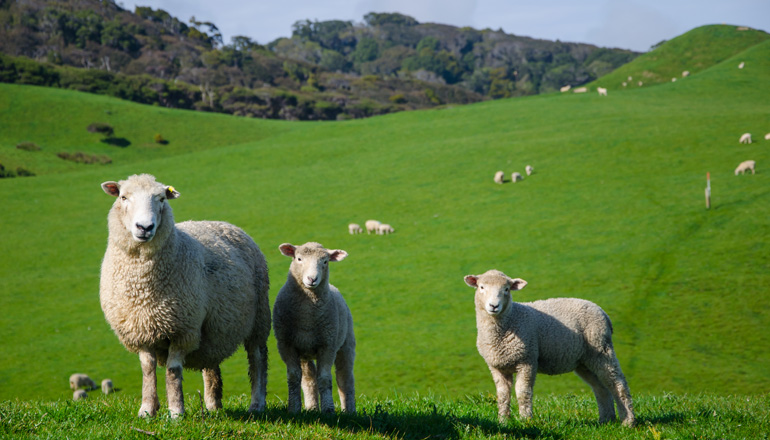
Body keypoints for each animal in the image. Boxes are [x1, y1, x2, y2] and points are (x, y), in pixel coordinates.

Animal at [99, 174, 271, 418]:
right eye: (123, 197)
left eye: (161, 198)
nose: (145, 227)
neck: (142, 287)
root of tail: (224, 224)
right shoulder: (140, 330)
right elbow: (148, 370)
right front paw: (147, 410)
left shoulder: (182, 329)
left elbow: (173, 371)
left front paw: (176, 412)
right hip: (213, 330)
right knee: (212, 365)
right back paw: (213, 405)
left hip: (259, 319)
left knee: (257, 359)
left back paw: (257, 404)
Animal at [273, 242, 356, 414]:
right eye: (298, 258)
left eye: (325, 261)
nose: (312, 279)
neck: (307, 317)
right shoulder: (286, 344)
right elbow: (294, 377)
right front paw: (293, 409)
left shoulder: (328, 345)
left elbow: (324, 378)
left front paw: (328, 410)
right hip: (305, 352)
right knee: (309, 379)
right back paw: (311, 407)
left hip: (346, 344)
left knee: (345, 378)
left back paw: (349, 410)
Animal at [464, 270, 635, 427]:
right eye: (481, 287)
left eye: (506, 289)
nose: (494, 306)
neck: (510, 319)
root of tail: (603, 313)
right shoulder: (497, 366)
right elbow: (502, 395)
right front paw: (503, 422)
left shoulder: (527, 360)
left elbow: (523, 392)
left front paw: (526, 420)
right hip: (584, 361)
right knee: (601, 388)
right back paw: (605, 420)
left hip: (601, 349)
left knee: (617, 383)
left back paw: (628, 421)